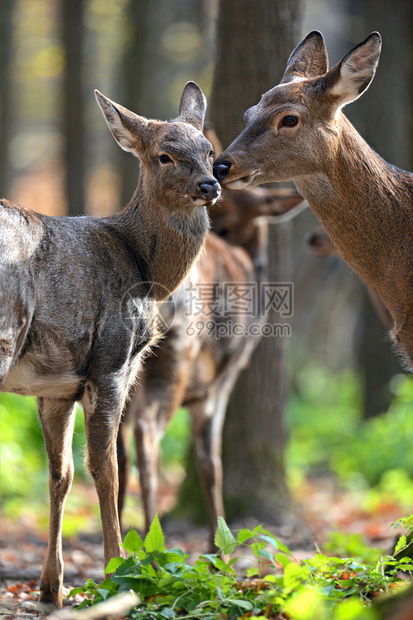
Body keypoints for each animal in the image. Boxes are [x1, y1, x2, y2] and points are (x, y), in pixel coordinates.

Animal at [0, 81, 220, 604]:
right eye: (164, 155)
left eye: (209, 152)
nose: (210, 185)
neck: (144, 270)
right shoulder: (111, 361)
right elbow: (108, 468)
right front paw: (120, 570)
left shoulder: (54, 388)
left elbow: (61, 473)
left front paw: (51, 586)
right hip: (5, 330)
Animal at [116, 163, 302, 548]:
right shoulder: (222, 381)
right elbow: (211, 461)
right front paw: (219, 546)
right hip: (177, 355)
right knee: (147, 435)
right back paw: (153, 541)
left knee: (116, 445)